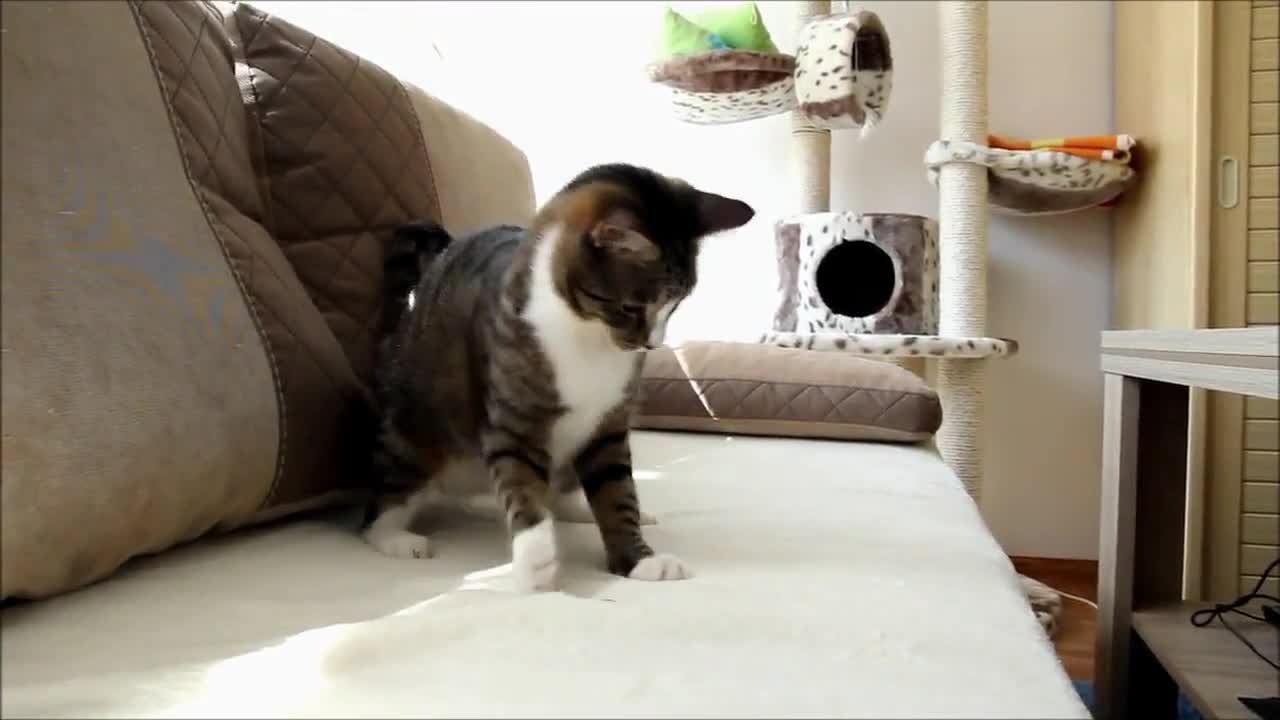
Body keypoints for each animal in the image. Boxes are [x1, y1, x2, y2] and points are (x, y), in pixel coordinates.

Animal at [368, 161, 747, 589]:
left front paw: (637, 560)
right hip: (415, 432)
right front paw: (536, 560)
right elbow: (522, 487)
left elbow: (617, 492)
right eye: (632, 307)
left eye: (675, 305)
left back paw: (577, 508)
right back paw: (395, 537)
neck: (585, 332)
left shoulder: (608, 424)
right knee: (385, 497)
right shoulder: (515, 422)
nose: (652, 345)